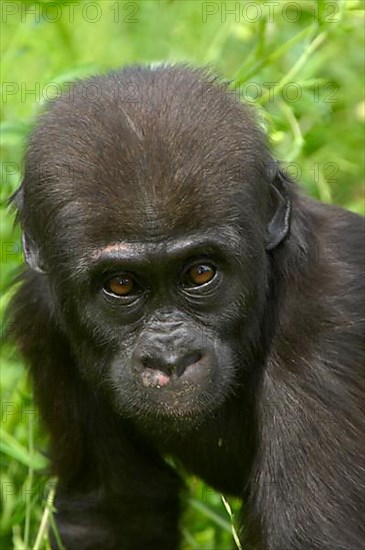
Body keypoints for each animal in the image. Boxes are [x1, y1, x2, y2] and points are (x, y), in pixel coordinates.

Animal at [8, 66, 364, 550]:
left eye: (200, 273)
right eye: (121, 284)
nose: (170, 358)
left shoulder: (329, 323)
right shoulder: (41, 314)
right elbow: (113, 511)